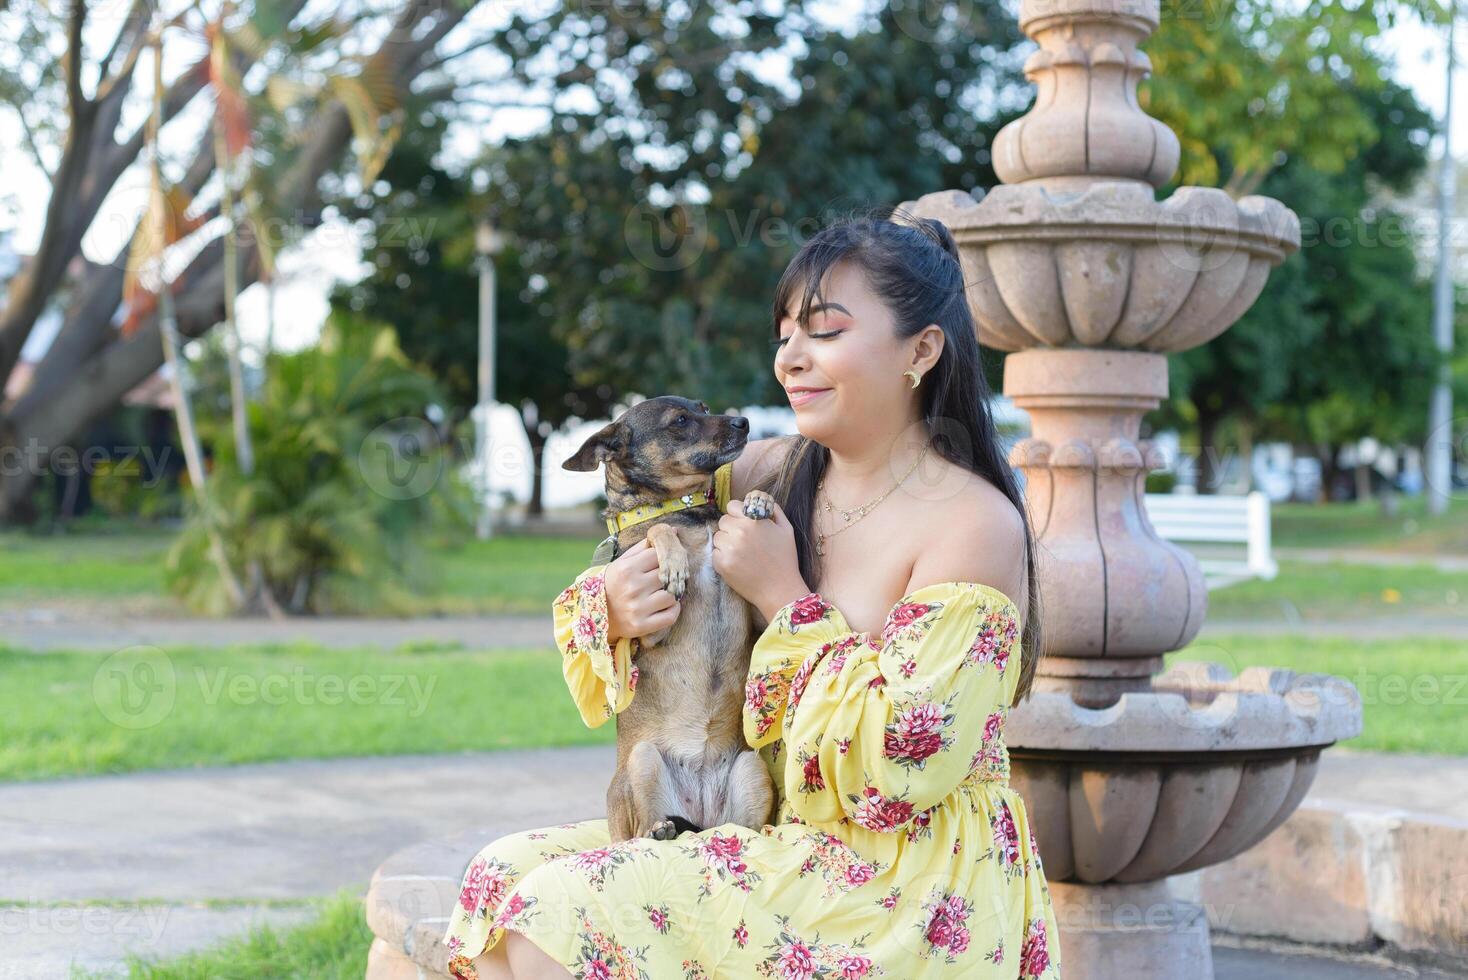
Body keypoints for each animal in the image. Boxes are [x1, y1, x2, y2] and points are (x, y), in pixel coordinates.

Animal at [560, 393, 780, 839]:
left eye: (704, 407)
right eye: (679, 421)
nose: (744, 422)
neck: (688, 512)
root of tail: (702, 819)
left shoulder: (757, 614)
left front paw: (758, 500)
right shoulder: (652, 628)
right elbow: (656, 533)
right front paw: (674, 561)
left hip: (749, 768)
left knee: (745, 827)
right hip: (643, 760)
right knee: (645, 827)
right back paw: (661, 829)